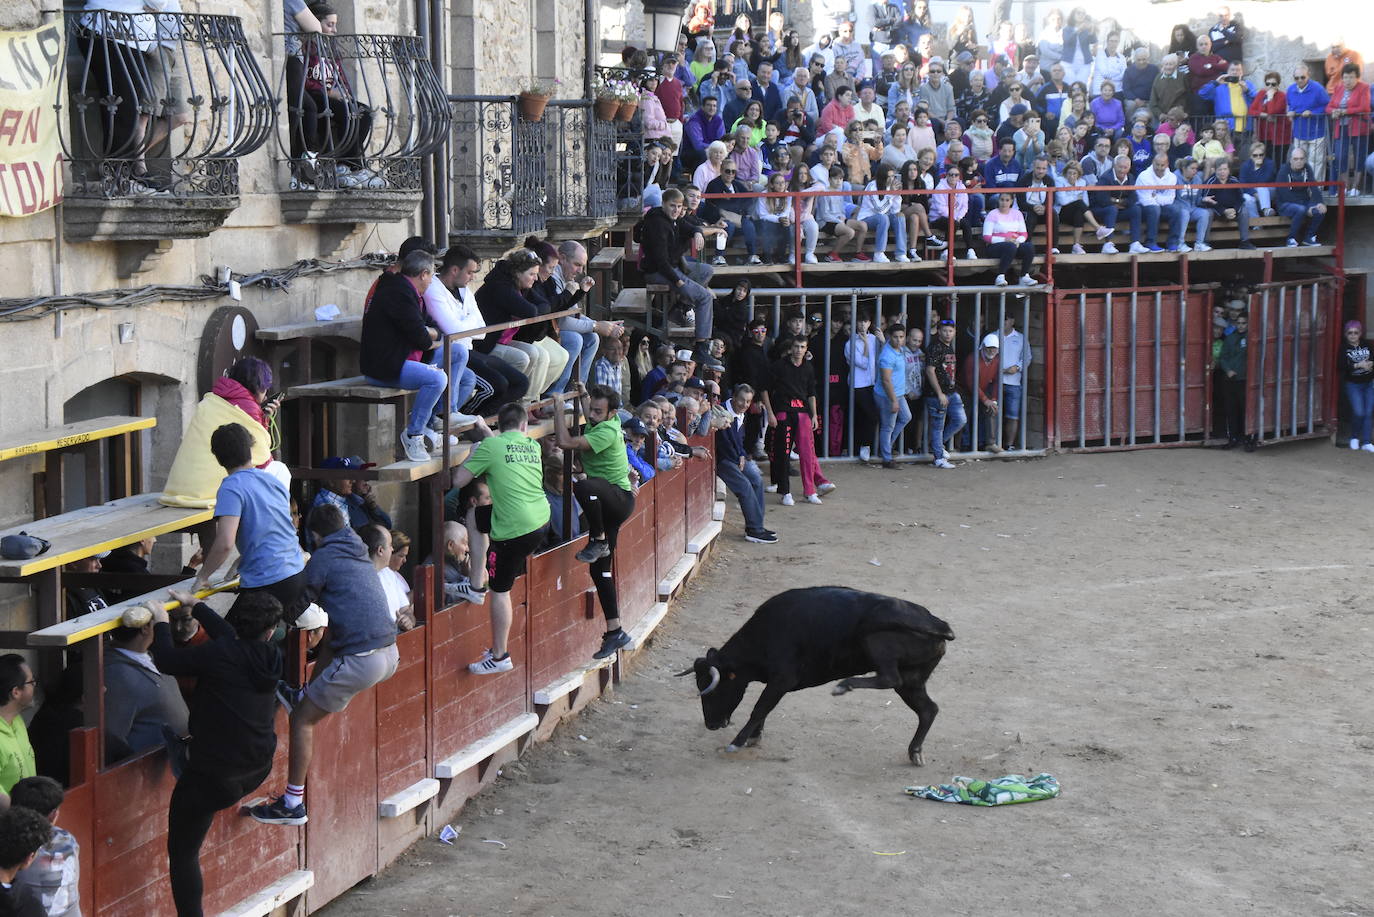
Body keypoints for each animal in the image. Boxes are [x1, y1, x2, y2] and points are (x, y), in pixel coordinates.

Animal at [678, 588, 956, 769]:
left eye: (712, 688)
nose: (711, 725)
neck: (765, 635)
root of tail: (939, 625)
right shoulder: (775, 683)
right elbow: (764, 709)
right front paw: (753, 737)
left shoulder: (782, 680)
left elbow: (759, 708)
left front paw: (737, 742)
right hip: (913, 680)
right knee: (928, 709)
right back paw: (915, 752)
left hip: (876, 642)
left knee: (890, 679)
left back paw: (843, 686)